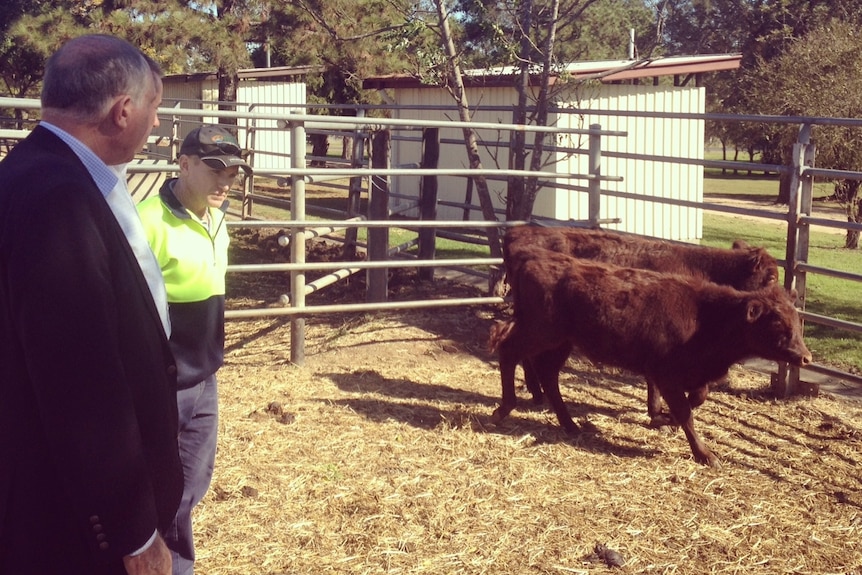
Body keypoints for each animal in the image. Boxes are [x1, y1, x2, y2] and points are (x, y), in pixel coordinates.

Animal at [490, 250, 812, 470]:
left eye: (797, 321)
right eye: (777, 323)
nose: (806, 357)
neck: (706, 316)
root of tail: (533, 260)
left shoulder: (688, 375)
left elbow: (696, 399)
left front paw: (663, 420)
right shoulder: (665, 374)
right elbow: (686, 412)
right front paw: (705, 454)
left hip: (560, 342)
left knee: (547, 373)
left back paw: (570, 425)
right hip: (540, 333)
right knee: (509, 351)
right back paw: (503, 409)